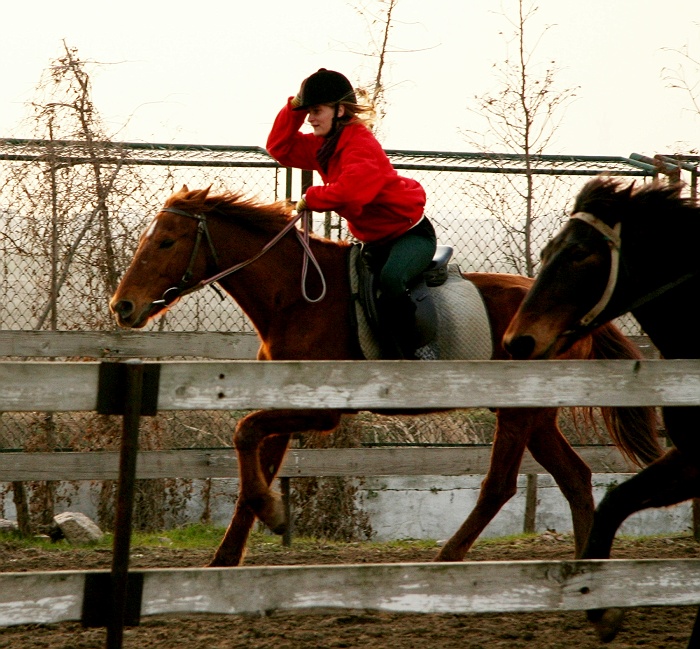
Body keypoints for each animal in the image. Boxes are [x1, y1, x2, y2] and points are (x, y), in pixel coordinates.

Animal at [110, 184, 660, 568]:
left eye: (165, 241)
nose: (123, 307)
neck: (294, 297)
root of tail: (581, 314)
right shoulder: (284, 406)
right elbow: (250, 469)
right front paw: (229, 554)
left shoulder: (320, 412)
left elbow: (244, 433)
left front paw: (273, 513)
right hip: (536, 416)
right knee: (576, 479)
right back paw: (586, 570)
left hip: (519, 413)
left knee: (500, 486)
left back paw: (446, 560)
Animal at [506, 175, 700, 644]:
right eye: (545, 251)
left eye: (579, 253)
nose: (519, 341)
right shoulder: (691, 458)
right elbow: (615, 500)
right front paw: (600, 606)